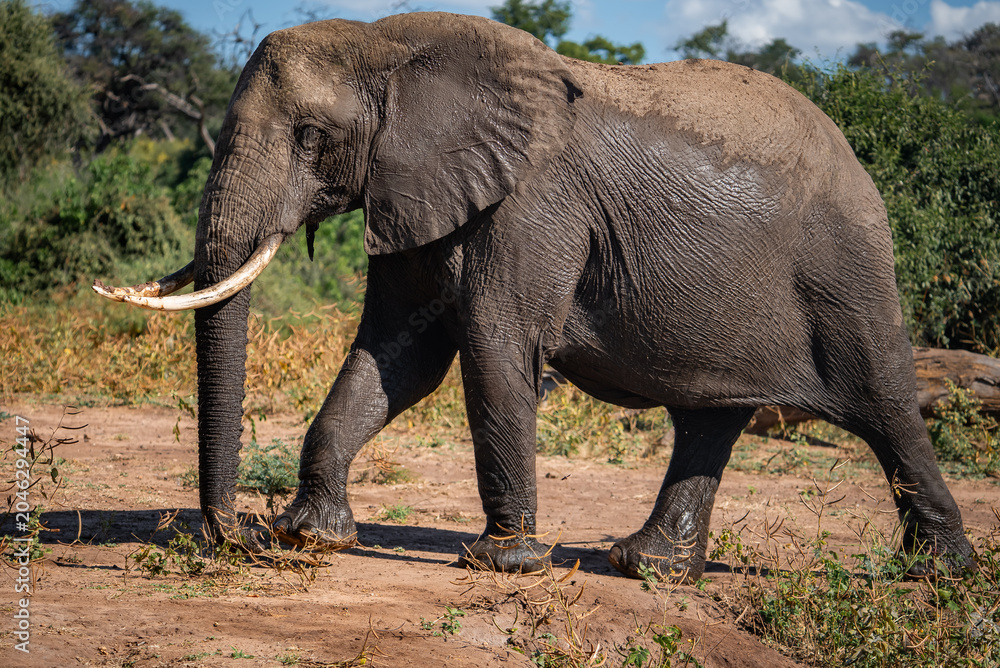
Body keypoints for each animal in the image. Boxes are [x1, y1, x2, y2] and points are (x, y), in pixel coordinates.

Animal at [95, 12, 975, 582]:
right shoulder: (419, 189)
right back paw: (648, 567)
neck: (387, 39)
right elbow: (393, 359)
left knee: (886, 405)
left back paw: (938, 578)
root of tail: (857, 155)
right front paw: (312, 538)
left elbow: (492, 351)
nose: (236, 537)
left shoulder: (533, 203)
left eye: (312, 138)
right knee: (709, 418)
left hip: (845, 267)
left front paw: (503, 563)